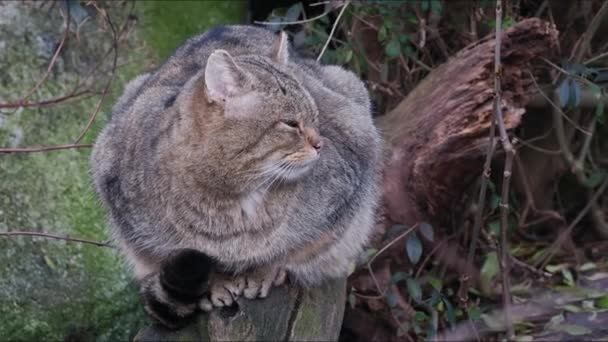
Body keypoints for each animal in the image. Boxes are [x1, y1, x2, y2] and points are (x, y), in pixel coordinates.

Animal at [90, 24, 380, 328]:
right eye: (291, 123)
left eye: (316, 116)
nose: (321, 144)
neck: (232, 198)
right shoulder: (130, 218)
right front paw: (216, 284)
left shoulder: (347, 192)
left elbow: (291, 248)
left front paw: (265, 270)